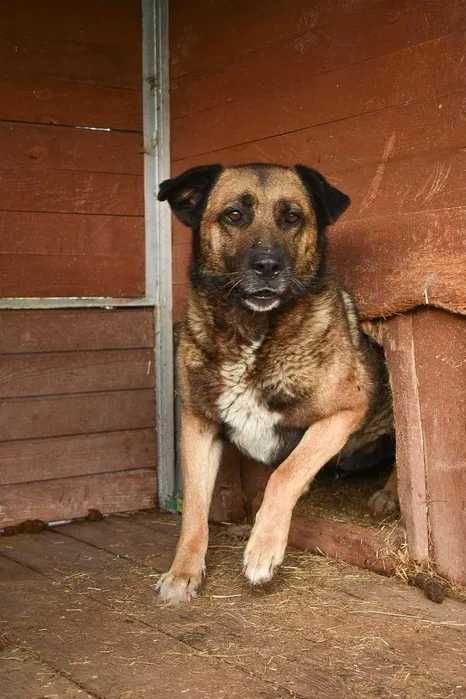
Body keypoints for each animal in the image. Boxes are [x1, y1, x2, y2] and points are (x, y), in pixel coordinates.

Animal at [157, 163, 396, 600]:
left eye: (292, 217)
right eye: (234, 215)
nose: (267, 266)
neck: (252, 334)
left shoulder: (344, 412)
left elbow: (284, 475)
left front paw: (262, 549)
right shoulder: (199, 424)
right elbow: (196, 507)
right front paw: (183, 570)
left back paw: (388, 494)